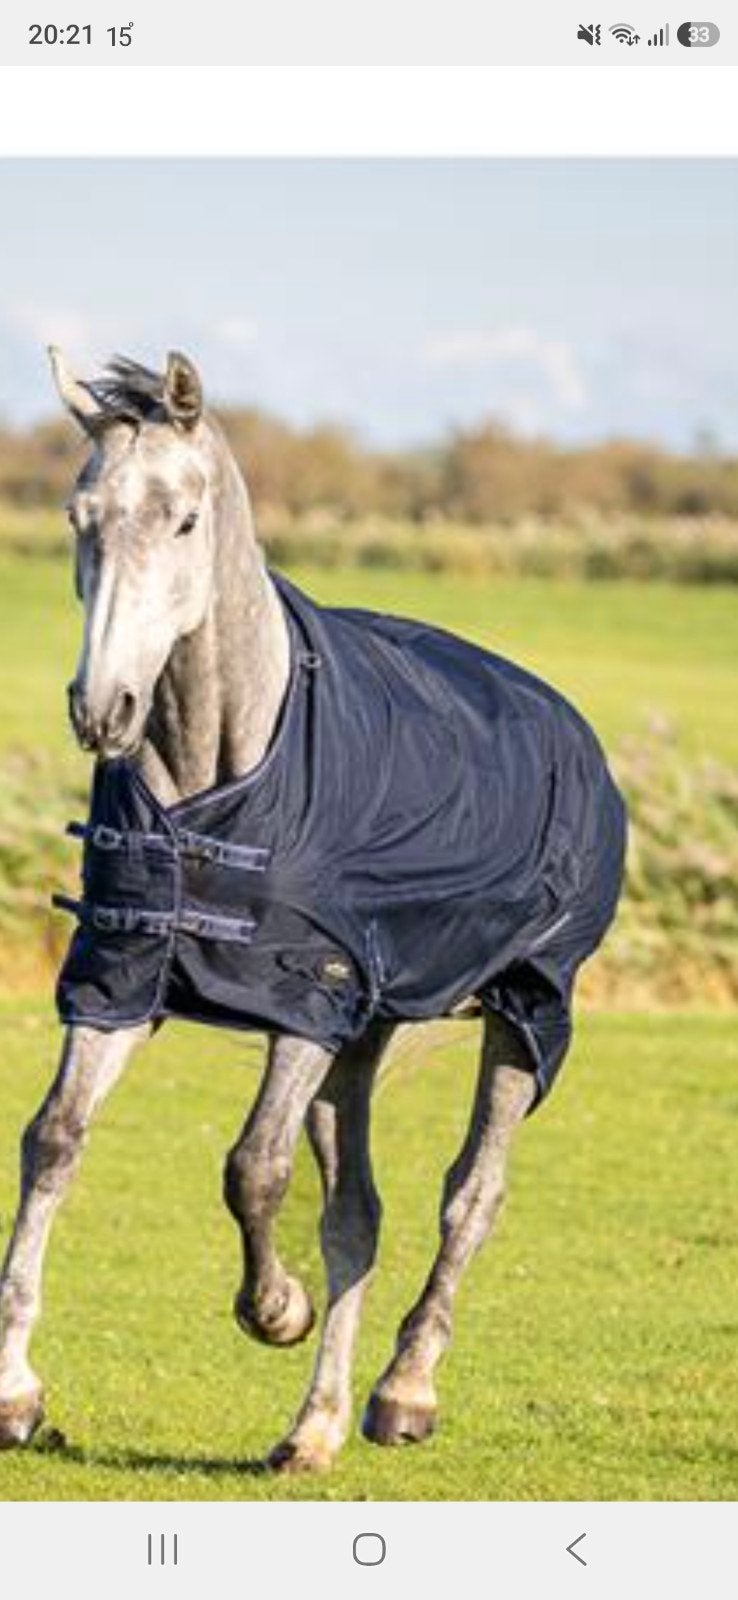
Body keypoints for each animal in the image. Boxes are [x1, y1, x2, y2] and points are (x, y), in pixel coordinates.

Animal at [0, 350, 626, 1471]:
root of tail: (572, 729)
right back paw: (315, 1425)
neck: (220, 772)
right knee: (358, 1213)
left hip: (521, 1013)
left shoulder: (305, 996)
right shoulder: (120, 980)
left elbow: (253, 1169)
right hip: (365, 1040)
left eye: (184, 520)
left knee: (470, 1198)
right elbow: (54, 1139)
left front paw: (275, 1309)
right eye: (80, 517)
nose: (102, 709)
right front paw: (16, 1392)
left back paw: (403, 1391)